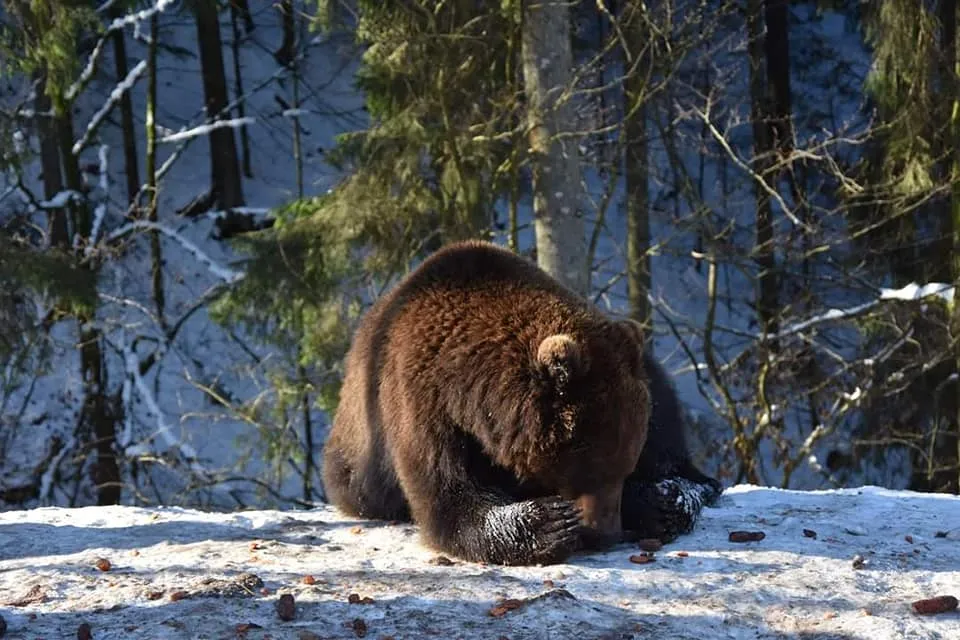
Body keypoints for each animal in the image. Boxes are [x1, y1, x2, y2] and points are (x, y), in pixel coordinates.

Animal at [322, 240, 652, 564]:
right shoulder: (421, 400)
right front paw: (549, 522)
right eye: (590, 468)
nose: (606, 533)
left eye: (626, 466)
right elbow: (447, 492)